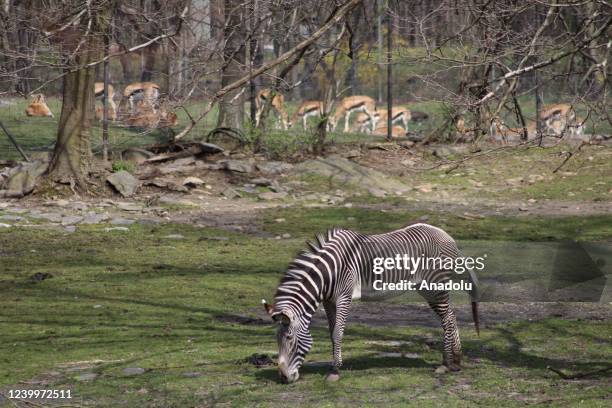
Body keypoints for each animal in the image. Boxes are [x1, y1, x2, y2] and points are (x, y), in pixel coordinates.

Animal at [260, 222, 480, 384]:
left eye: (289, 338)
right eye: (276, 339)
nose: (283, 378)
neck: (327, 274)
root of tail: (447, 235)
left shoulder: (344, 297)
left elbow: (337, 332)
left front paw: (335, 371)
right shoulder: (329, 301)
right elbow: (331, 333)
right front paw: (333, 364)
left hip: (436, 285)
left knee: (448, 318)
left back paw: (448, 364)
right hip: (427, 288)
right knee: (449, 317)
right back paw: (453, 361)